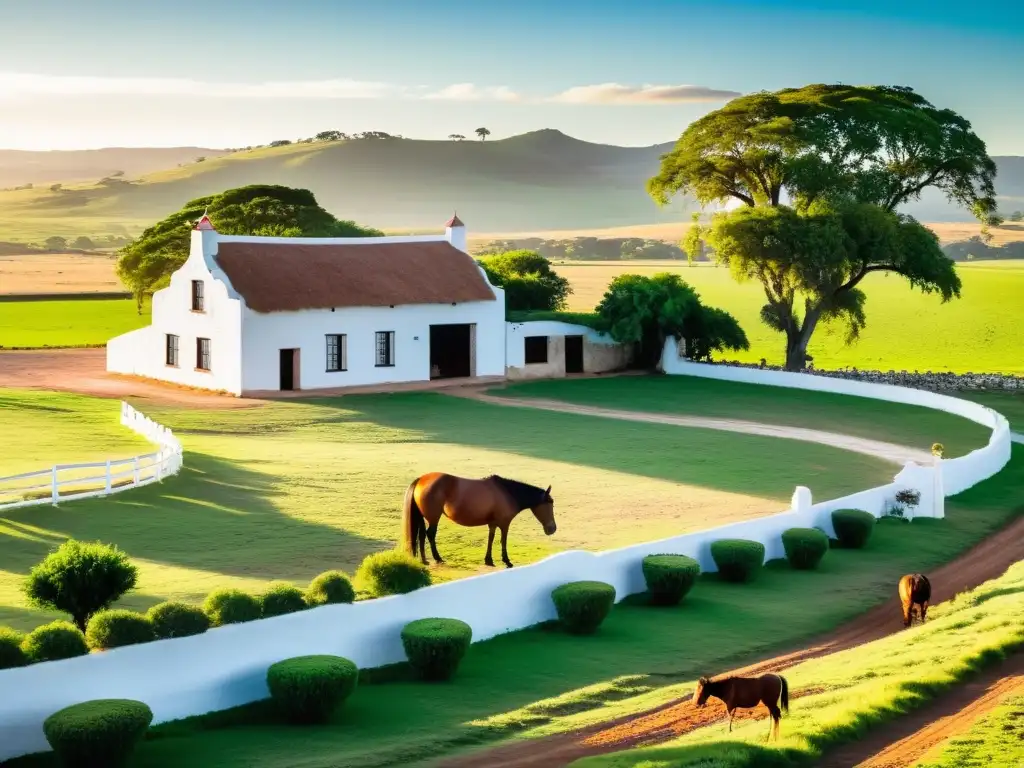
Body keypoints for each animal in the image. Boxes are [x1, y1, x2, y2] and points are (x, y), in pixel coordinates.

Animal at [403, 473, 557, 569]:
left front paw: (488, 560)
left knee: (422, 535)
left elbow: (491, 539)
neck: (508, 493)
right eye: (550, 504)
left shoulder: (493, 524)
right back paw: (437, 558)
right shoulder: (504, 524)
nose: (552, 529)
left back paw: (424, 560)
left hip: (425, 518)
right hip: (433, 518)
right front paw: (507, 561)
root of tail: (421, 479)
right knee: (430, 534)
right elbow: (503, 540)